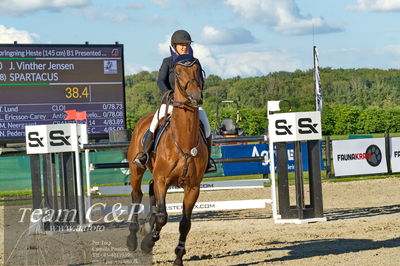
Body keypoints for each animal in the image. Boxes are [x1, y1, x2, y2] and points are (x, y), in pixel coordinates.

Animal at [126, 54, 208, 266]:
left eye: (199, 70)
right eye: (177, 73)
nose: (195, 97)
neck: (183, 141)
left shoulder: (192, 187)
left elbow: (185, 223)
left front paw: (178, 257)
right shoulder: (163, 181)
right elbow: (162, 216)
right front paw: (148, 243)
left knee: (150, 191)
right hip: (136, 169)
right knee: (137, 195)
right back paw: (133, 239)